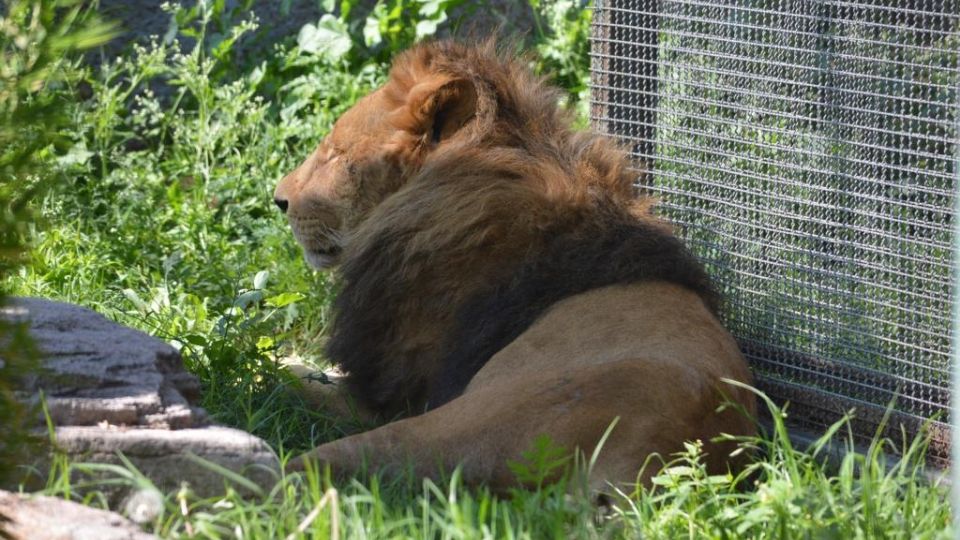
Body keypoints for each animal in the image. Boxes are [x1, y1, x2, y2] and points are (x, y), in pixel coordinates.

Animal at [272, 40, 756, 492]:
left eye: (334, 154)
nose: (279, 200)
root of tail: (657, 455)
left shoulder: (390, 393)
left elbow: (301, 379)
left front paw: (268, 362)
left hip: (461, 420)